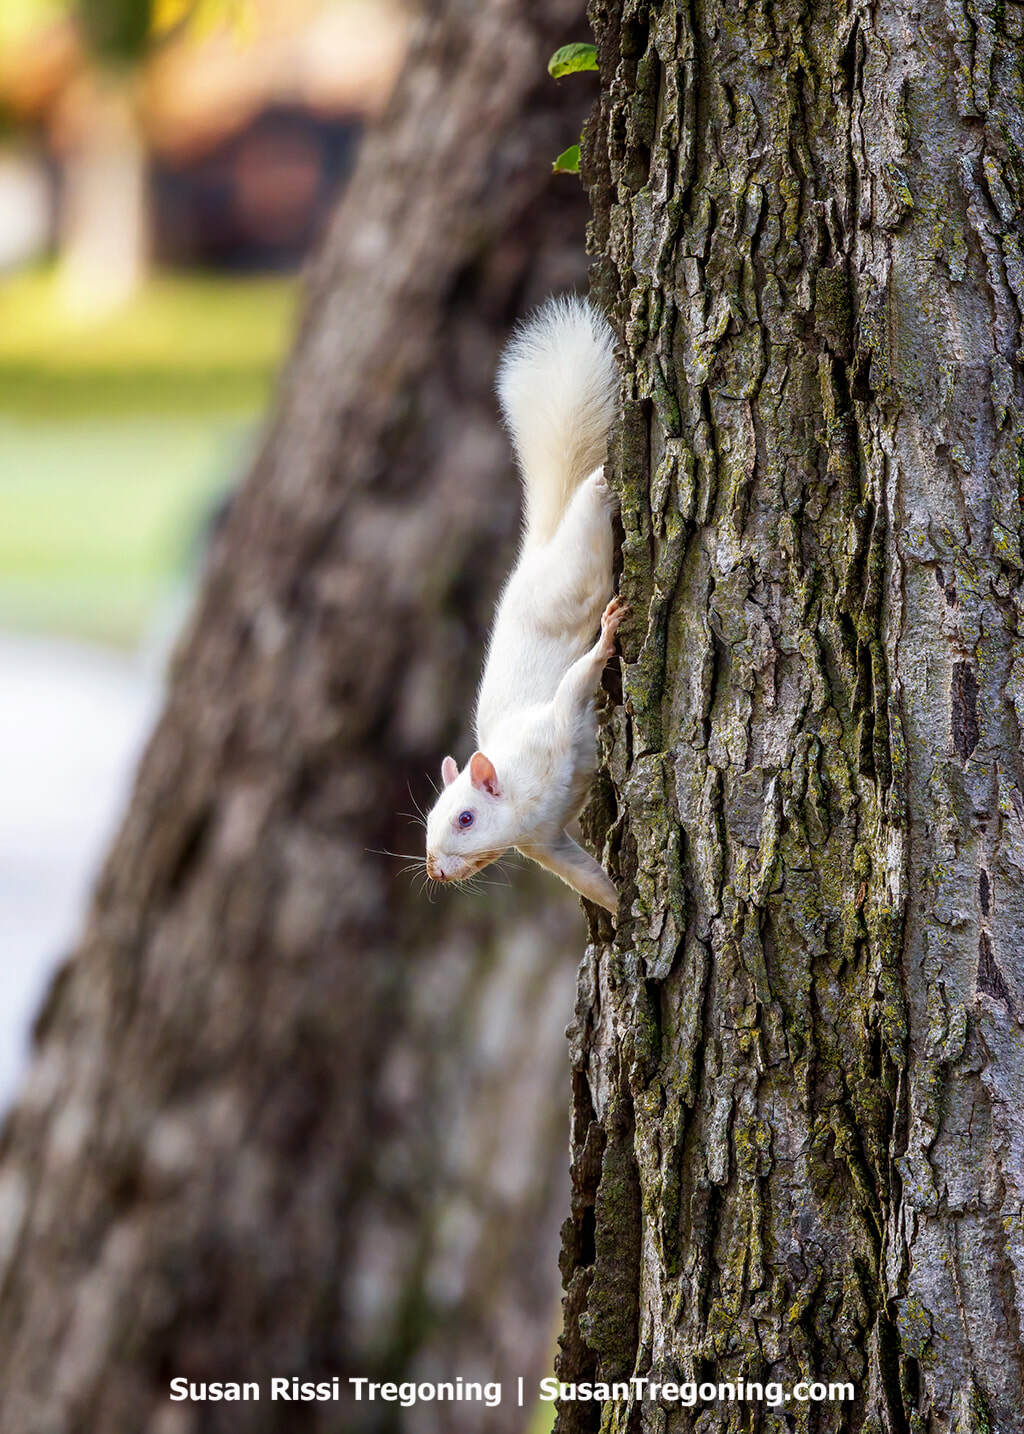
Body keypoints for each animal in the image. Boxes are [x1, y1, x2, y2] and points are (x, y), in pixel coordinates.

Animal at [424, 295, 625, 912]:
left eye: (465, 819)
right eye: (428, 824)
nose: (435, 869)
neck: (518, 797)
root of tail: (535, 551)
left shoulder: (553, 728)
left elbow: (578, 682)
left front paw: (609, 637)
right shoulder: (545, 843)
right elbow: (584, 876)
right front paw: (622, 906)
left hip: (574, 572)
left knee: (588, 507)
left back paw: (603, 477)